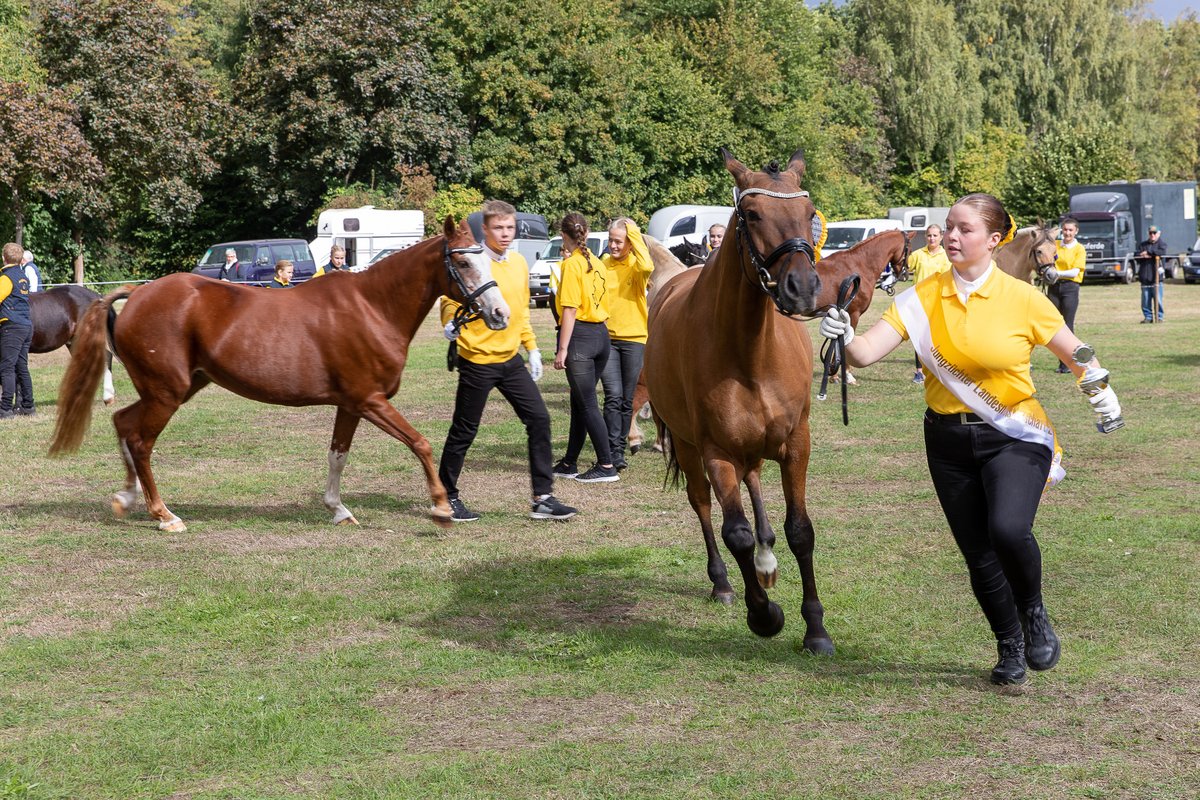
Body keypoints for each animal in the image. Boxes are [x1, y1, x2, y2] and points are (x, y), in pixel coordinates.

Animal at [49, 217, 509, 532]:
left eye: (487, 260)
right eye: (463, 261)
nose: (500, 314)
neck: (372, 308)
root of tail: (139, 293)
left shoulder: (351, 404)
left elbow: (338, 454)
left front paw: (338, 509)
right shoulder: (371, 401)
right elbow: (421, 443)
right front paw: (442, 508)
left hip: (173, 389)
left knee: (123, 422)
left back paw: (126, 498)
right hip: (166, 394)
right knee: (141, 441)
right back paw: (164, 515)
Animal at [644, 147, 834, 654]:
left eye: (810, 213)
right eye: (751, 215)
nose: (802, 288)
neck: (750, 352)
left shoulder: (796, 444)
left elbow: (800, 531)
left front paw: (816, 629)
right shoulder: (716, 452)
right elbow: (736, 533)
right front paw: (764, 615)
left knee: (755, 485)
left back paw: (767, 563)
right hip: (689, 447)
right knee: (704, 507)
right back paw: (725, 582)